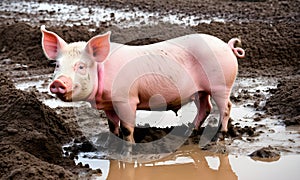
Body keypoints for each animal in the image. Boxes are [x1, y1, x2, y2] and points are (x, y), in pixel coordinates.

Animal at [41, 25, 245, 143]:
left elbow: (127, 128)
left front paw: (128, 149)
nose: (58, 82)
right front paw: (113, 144)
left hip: (221, 85)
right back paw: (188, 132)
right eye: (57, 65)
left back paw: (218, 137)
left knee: (226, 106)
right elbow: (112, 126)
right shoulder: (109, 104)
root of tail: (227, 46)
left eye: (81, 66)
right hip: (200, 91)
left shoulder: (127, 100)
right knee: (205, 107)